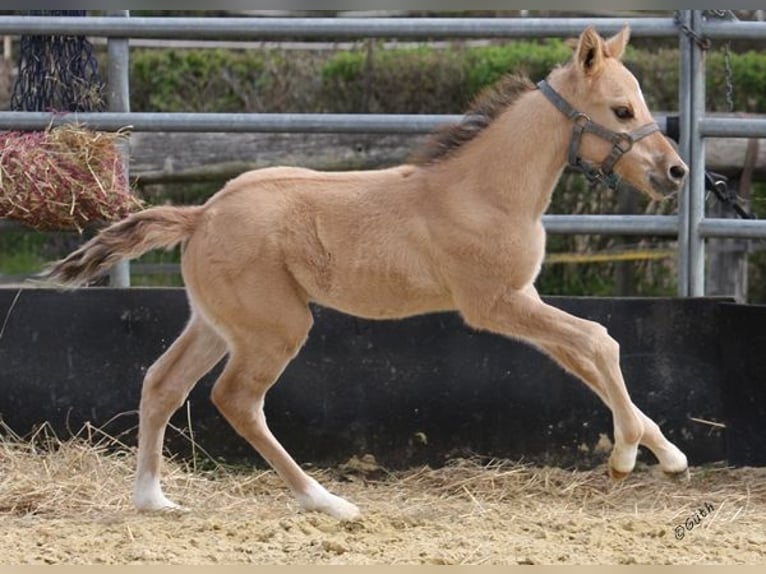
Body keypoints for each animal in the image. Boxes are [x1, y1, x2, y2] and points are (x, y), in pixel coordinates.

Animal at [43, 25, 688, 520]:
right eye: (622, 110)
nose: (676, 172)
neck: (483, 191)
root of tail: (201, 213)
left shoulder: (520, 301)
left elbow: (585, 361)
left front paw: (671, 457)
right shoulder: (496, 303)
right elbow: (600, 342)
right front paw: (624, 458)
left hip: (216, 322)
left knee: (162, 383)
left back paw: (153, 499)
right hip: (275, 328)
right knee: (237, 399)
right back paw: (327, 502)